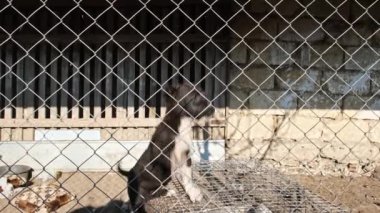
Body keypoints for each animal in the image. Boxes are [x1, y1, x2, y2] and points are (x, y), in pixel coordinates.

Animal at [119, 82, 214, 212]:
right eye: (195, 96)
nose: (213, 109)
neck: (182, 125)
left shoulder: (186, 156)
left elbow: (188, 177)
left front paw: (192, 193)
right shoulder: (162, 153)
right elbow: (170, 167)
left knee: (153, 194)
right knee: (140, 199)